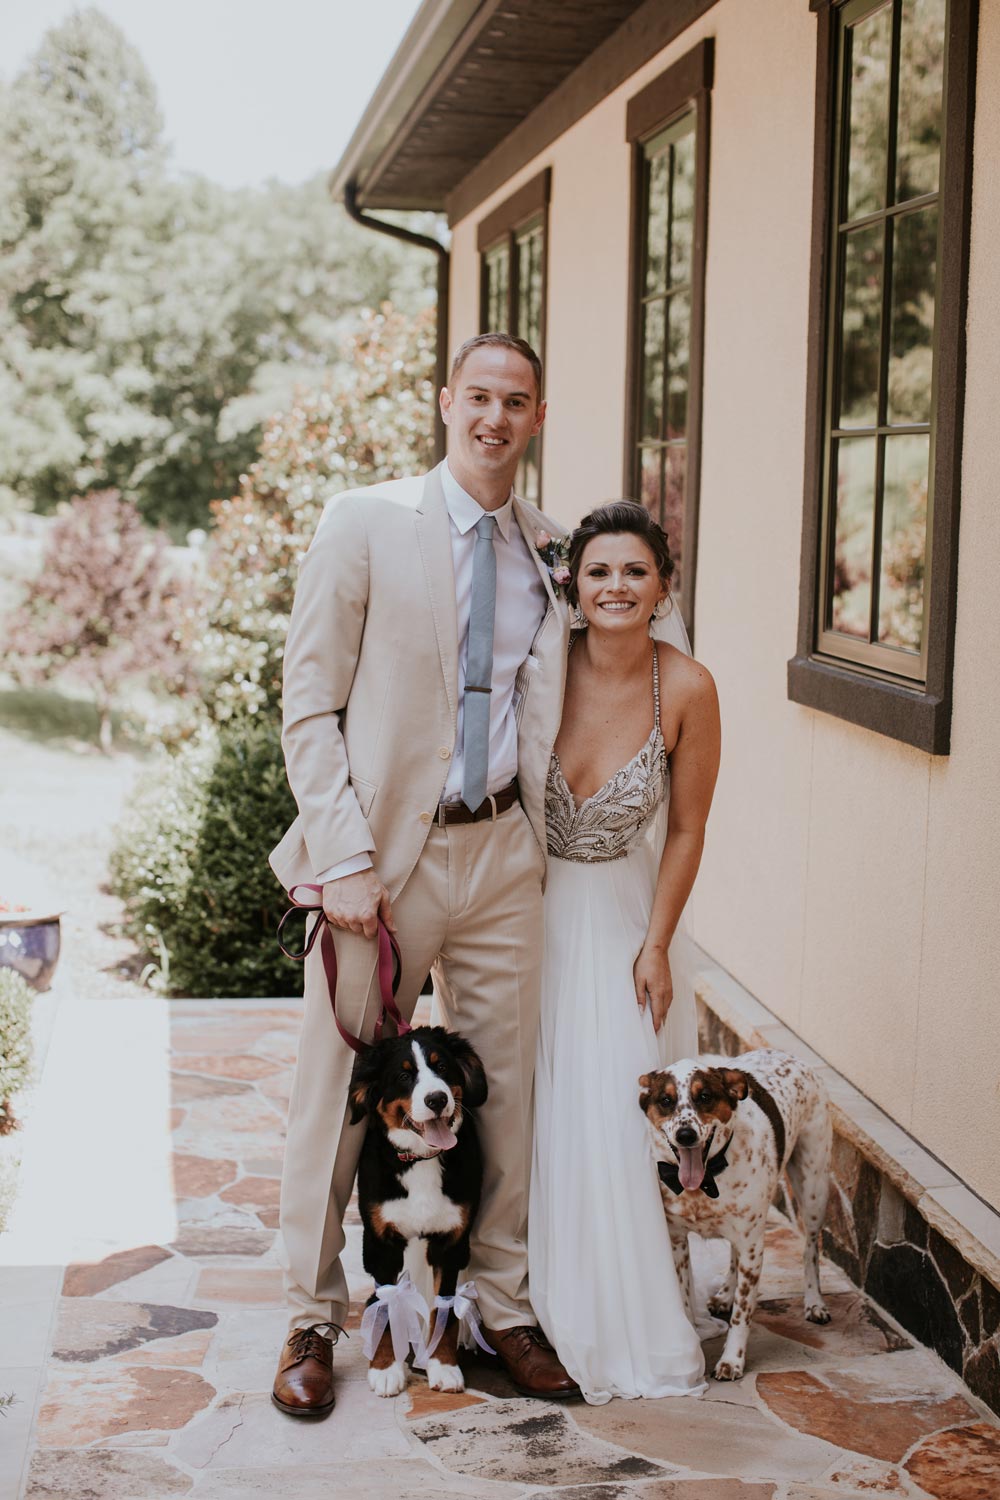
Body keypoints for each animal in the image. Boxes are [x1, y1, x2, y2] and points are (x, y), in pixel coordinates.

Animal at [347, 1026, 488, 1398]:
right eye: (404, 1075)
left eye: (442, 1067)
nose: (436, 1099)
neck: (421, 1160)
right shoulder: (381, 1242)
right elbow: (385, 1304)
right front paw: (385, 1368)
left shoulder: (452, 1242)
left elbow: (445, 1310)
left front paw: (443, 1366)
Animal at [644, 1044, 833, 1380]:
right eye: (665, 1101)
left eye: (705, 1096)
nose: (686, 1135)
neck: (706, 1181)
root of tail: (786, 1053)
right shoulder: (677, 1240)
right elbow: (683, 1298)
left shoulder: (754, 1245)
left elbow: (742, 1314)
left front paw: (732, 1360)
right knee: (734, 1254)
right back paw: (724, 1294)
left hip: (814, 1187)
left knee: (810, 1248)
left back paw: (814, 1302)